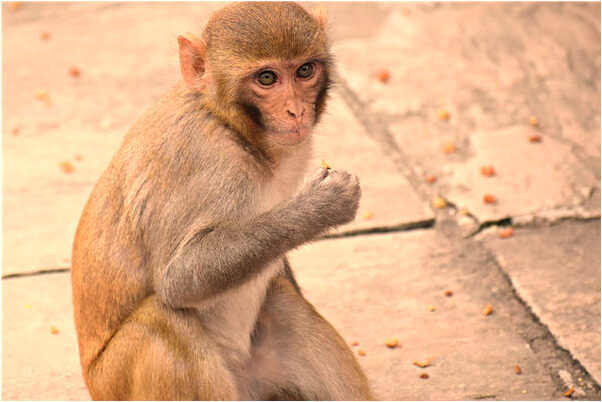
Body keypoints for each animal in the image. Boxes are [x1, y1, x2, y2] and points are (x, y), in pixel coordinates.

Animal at [69, 2, 370, 398]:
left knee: (281, 299)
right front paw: (320, 207)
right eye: (267, 78)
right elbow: (178, 278)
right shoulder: (201, 161)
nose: (296, 110)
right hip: (115, 381)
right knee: (163, 321)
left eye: (305, 70)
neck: (232, 126)